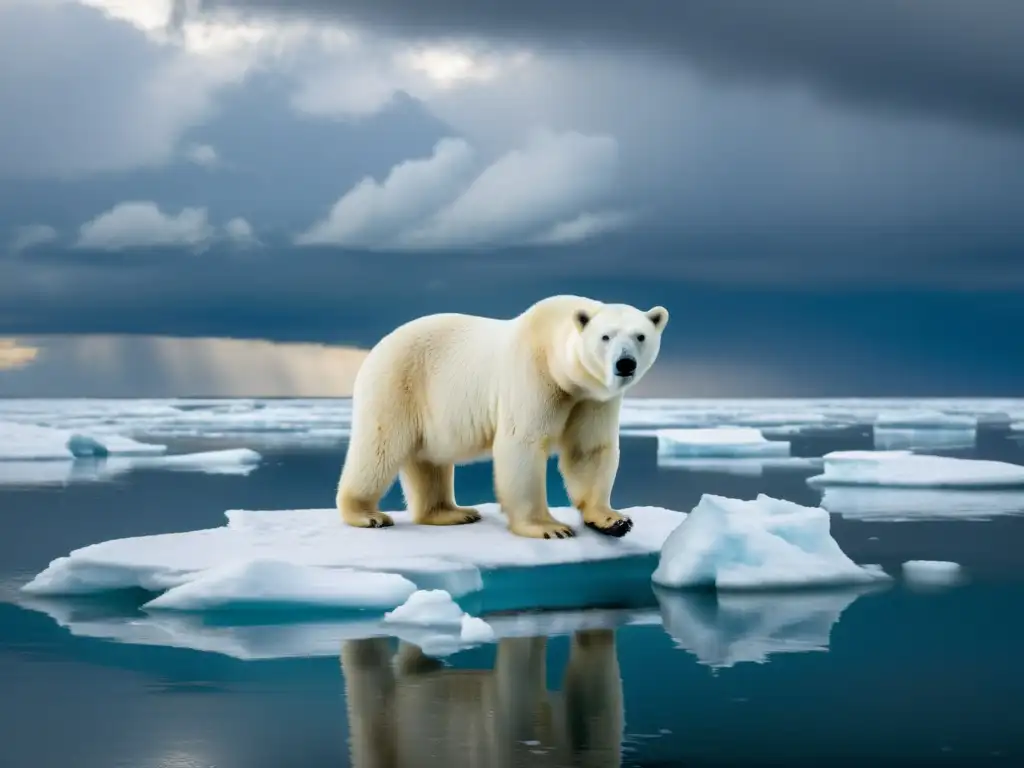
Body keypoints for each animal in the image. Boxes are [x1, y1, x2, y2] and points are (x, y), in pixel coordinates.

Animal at [337, 294, 671, 540]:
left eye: (640, 336)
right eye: (605, 337)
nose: (625, 364)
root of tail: (378, 347)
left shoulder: (593, 398)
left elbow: (588, 450)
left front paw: (613, 520)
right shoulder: (534, 375)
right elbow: (523, 443)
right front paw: (549, 527)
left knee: (429, 461)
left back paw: (451, 512)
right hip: (399, 384)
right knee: (380, 447)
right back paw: (367, 514)